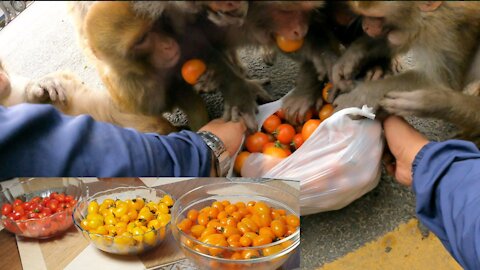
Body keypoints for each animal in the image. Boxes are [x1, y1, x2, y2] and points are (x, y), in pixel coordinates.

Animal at [332, 1, 480, 143]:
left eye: (378, 17)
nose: (365, 27)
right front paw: (351, 57)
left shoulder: (448, 32)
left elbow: (437, 81)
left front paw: (361, 96)